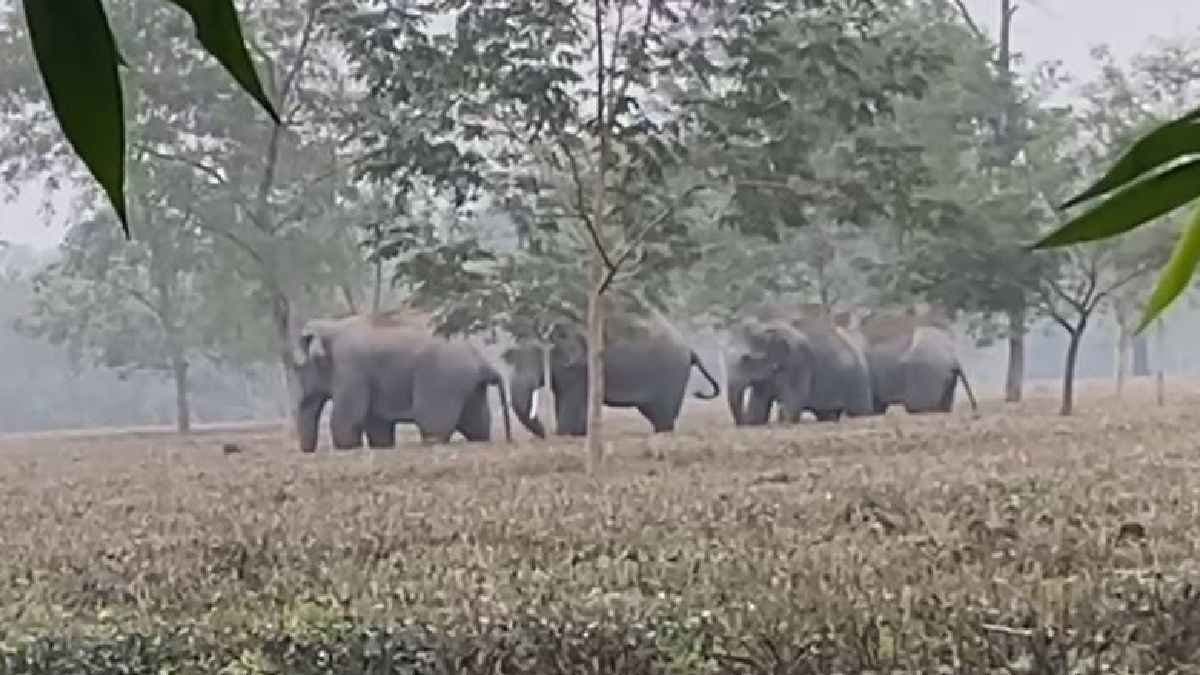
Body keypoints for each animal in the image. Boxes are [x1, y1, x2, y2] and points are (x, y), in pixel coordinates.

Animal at [294, 313, 513, 452]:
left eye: (301, 368)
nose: (308, 451)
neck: (332, 325)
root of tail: (481, 361)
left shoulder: (350, 367)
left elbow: (348, 417)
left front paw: (347, 447)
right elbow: (377, 423)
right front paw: (381, 446)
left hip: (443, 380)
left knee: (433, 426)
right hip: (470, 387)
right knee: (477, 425)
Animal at [501, 309, 721, 438]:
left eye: (539, 355)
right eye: (509, 357)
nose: (546, 434)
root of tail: (691, 350)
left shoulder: (581, 368)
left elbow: (571, 403)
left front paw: (566, 434)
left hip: (672, 374)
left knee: (663, 415)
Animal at [725, 312, 874, 426]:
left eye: (746, 359)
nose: (741, 423)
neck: (766, 327)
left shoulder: (798, 361)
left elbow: (793, 403)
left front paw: (783, 421)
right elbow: (758, 407)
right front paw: (755, 421)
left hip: (857, 381)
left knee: (858, 411)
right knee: (826, 414)